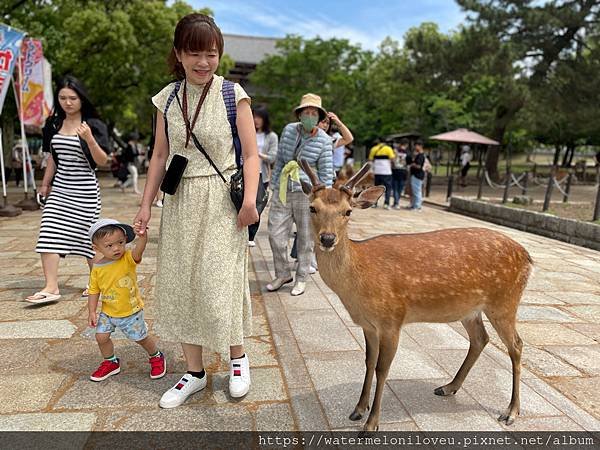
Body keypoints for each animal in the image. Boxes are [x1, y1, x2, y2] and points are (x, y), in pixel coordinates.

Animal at [298, 159, 532, 432]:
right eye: (312, 208)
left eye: (347, 212)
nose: (327, 238)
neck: (358, 283)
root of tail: (528, 257)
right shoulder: (368, 325)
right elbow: (368, 362)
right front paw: (357, 410)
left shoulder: (392, 319)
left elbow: (382, 369)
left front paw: (371, 424)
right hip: (470, 309)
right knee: (480, 339)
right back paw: (449, 387)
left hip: (505, 302)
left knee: (516, 345)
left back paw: (511, 411)